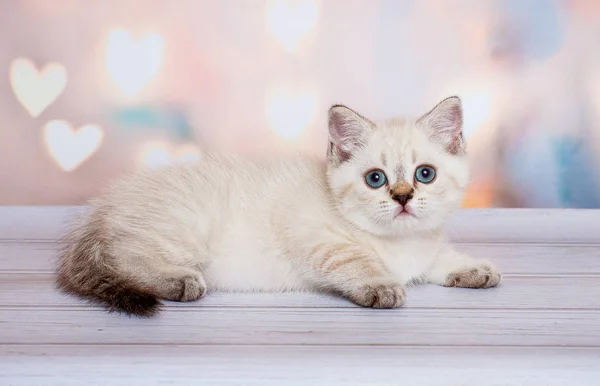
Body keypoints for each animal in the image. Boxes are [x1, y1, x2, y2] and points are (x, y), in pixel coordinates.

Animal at [57, 96, 502, 316]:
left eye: (424, 174)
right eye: (375, 179)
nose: (403, 196)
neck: (399, 243)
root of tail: (102, 209)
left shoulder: (425, 249)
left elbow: (440, 259)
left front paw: (475, 269)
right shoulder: (316, 240)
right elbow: (355, 261)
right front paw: (380, 285)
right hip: (182, 232)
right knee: (127, 259)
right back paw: (179, 281)